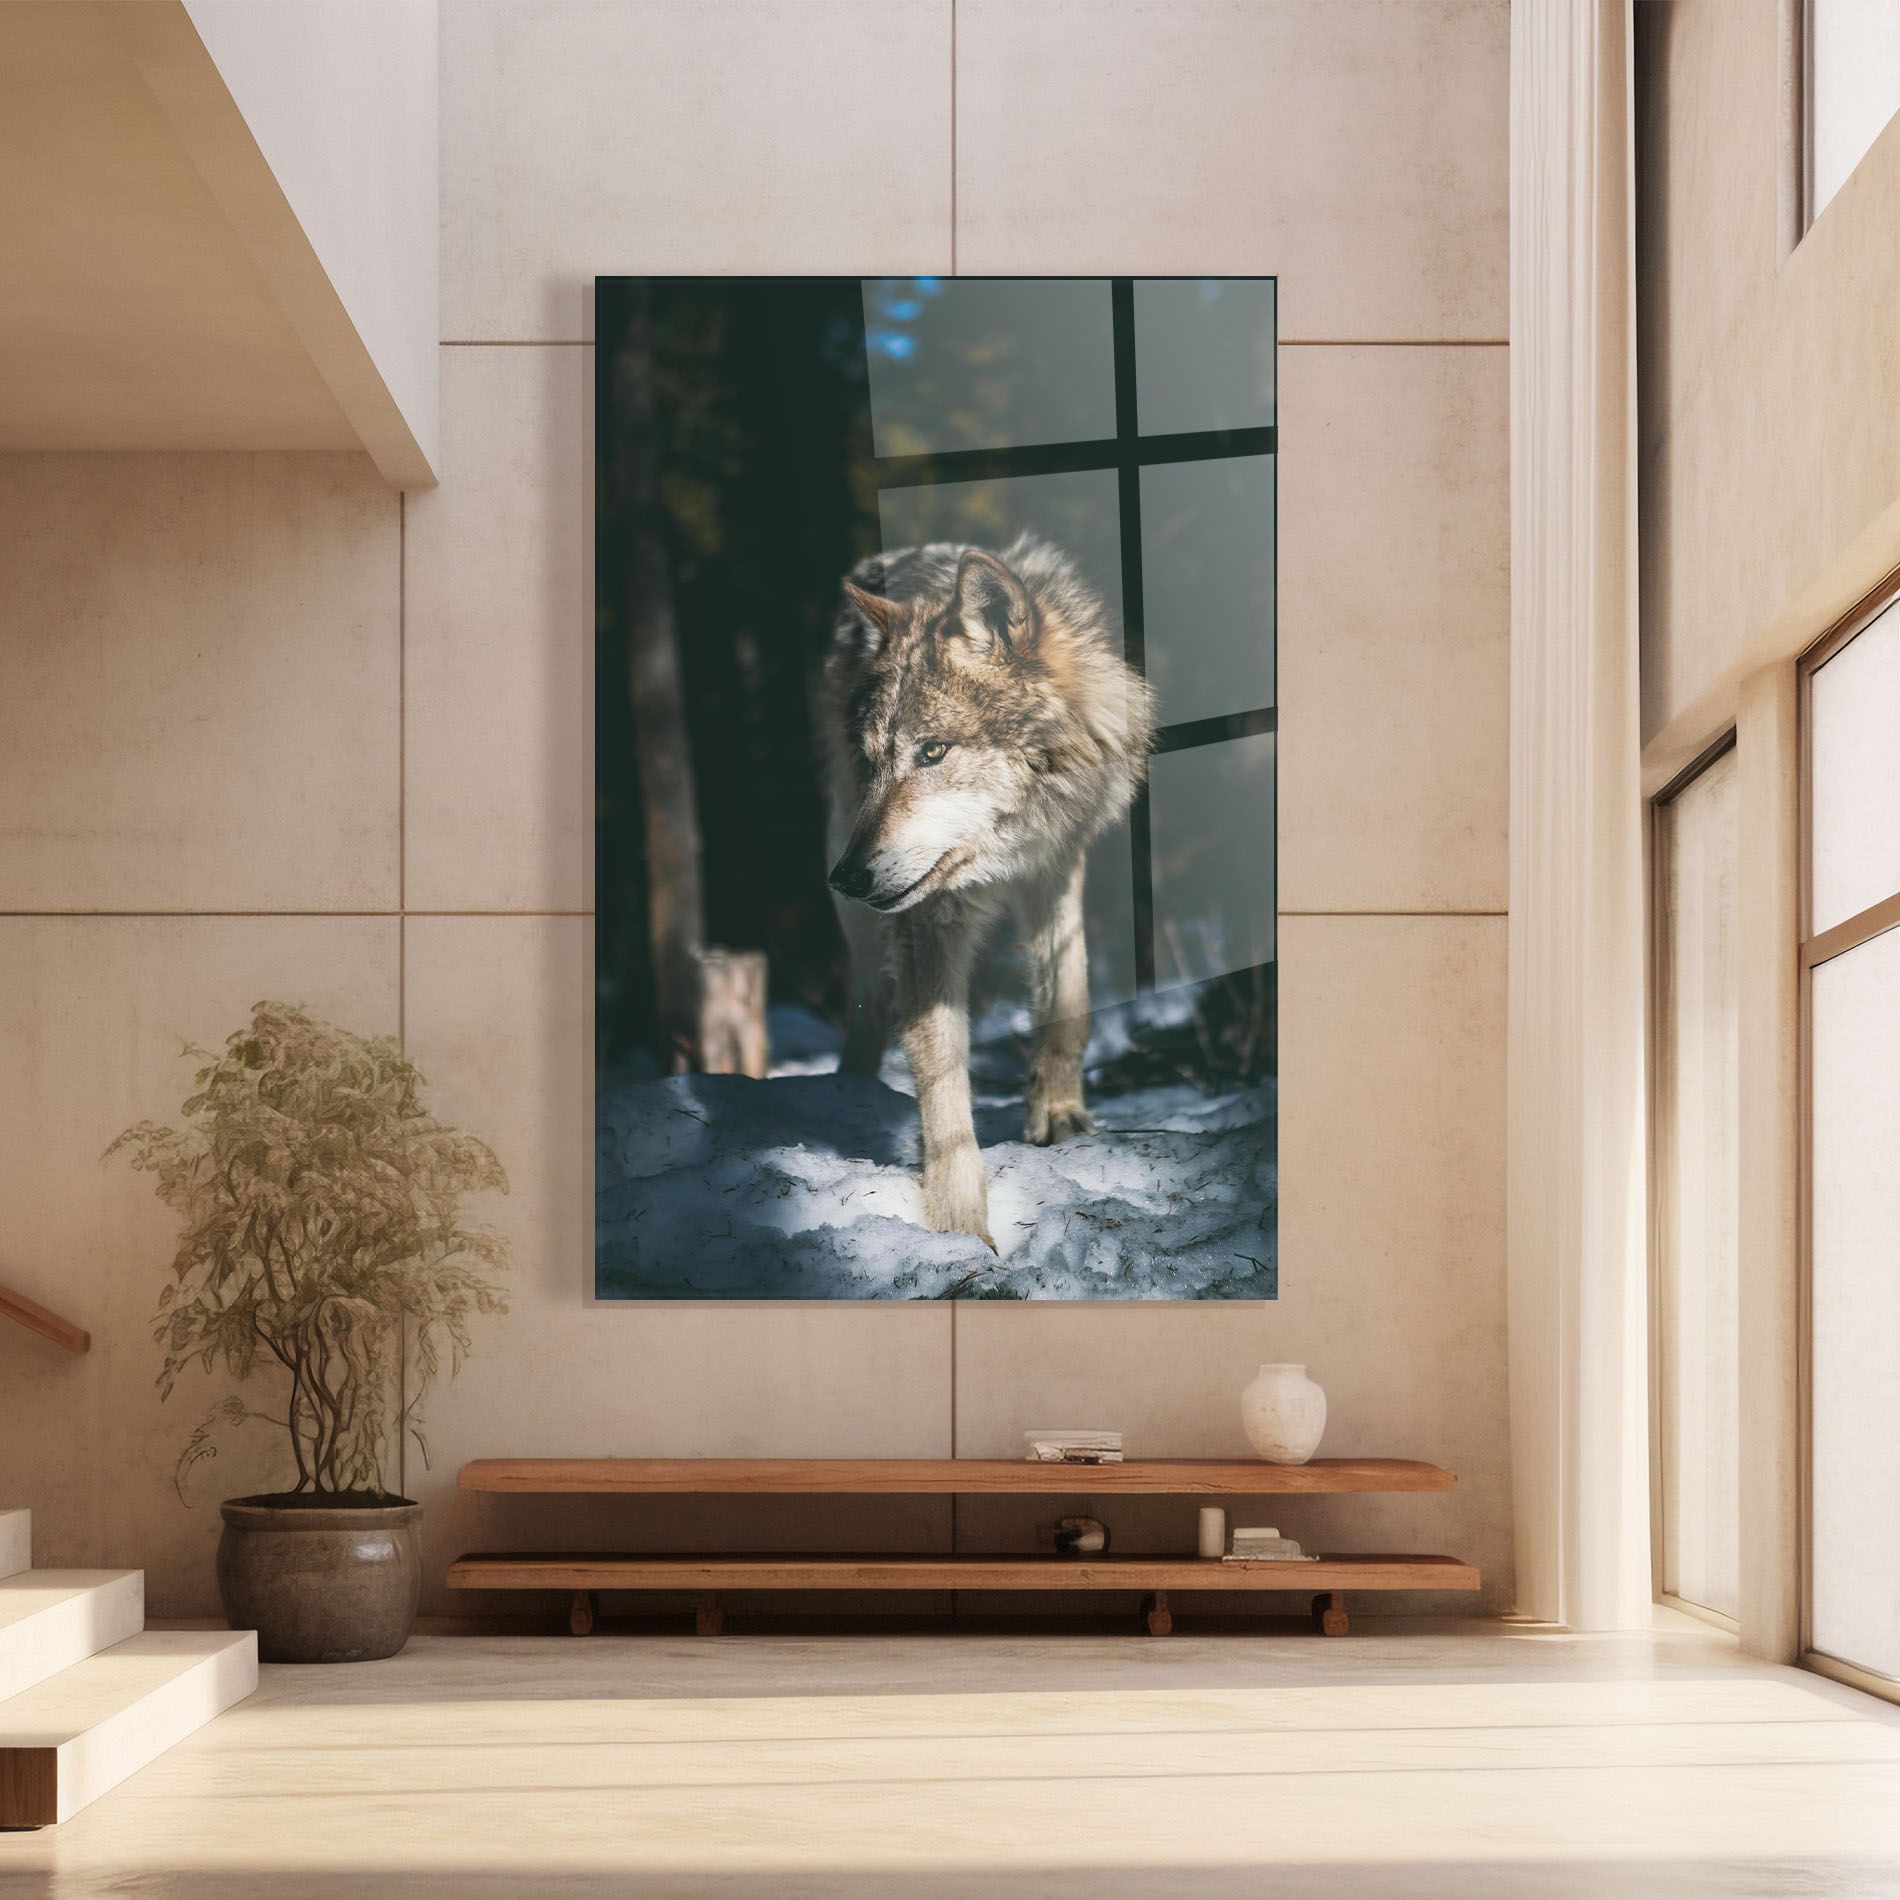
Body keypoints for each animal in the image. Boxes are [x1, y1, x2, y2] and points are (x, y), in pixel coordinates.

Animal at [816, 534, 1154, 1248]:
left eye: (933, 752)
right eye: (873, 761)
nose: (848, 876)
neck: (1005, 851)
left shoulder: (1057, 866)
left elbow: (1070, 999)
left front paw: (1059, 1116)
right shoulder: (927, 915)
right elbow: (941, 1067)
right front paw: (958, 1223)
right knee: (869, 998)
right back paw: (847, 1089)